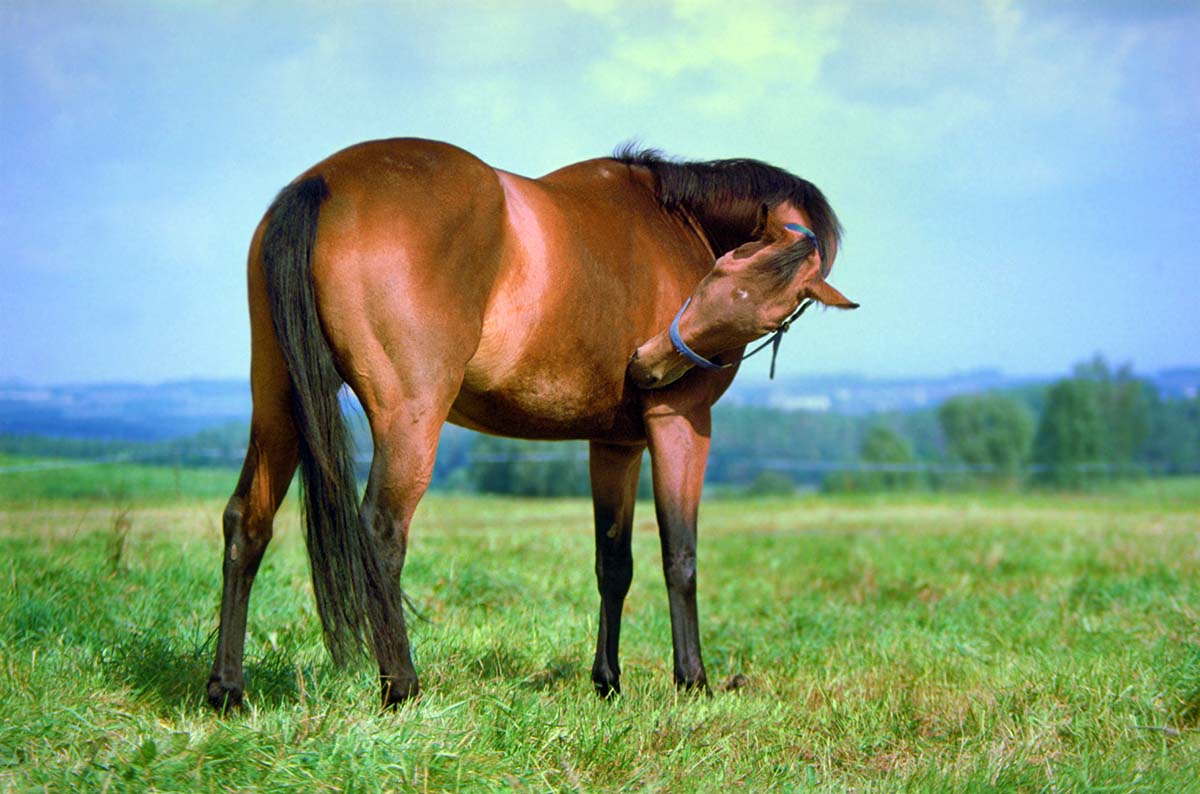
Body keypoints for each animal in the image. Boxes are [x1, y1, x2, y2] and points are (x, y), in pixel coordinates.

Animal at [211, 135, 859, 710]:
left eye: (768, 312)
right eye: (721, 272)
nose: (647, 365)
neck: (675, 222)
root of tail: (322, 183)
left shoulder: (615, 444)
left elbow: (613, 564)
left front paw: (608, 682)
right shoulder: (681, 423)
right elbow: (681, 556)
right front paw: (693, 681)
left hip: (278, 404)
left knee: (248, 521)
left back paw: (227, 690)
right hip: (410, 418)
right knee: (381, 531)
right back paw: (402, 688)